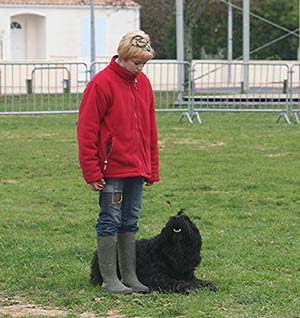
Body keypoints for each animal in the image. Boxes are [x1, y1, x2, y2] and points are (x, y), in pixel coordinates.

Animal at [89, 210, 218, 294]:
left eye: (187, 220)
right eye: (170, 219)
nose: (176, 218)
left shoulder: (188, 275)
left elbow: (198, 281)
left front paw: (209, 284)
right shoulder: (157, 278)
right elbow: (178, 283)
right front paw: (192, 287)